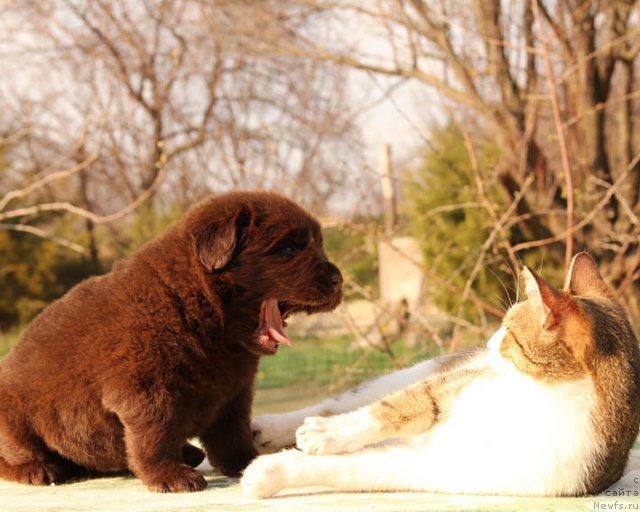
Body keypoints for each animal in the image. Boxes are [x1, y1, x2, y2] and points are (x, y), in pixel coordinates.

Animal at [0, 192, 342, 492]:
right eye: (288, 249)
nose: (339, 279)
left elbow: (233, 433)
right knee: (13, 457)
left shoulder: (233, 393)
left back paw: (189, 452)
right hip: (13, 418)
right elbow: (154, 435)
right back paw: (37, 470)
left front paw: (248, 463)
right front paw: (170, 477)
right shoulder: (144, 390)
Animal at [241, 254, 640, 498]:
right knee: (343, 401)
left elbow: (350, 469)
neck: (537, 396)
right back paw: (275, 426)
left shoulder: (439, 466)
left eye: (510, 333)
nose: (488, 342)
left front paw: (269, 473)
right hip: (424, 370)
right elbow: (395, 407)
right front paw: (327, 433)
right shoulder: (449, 383)